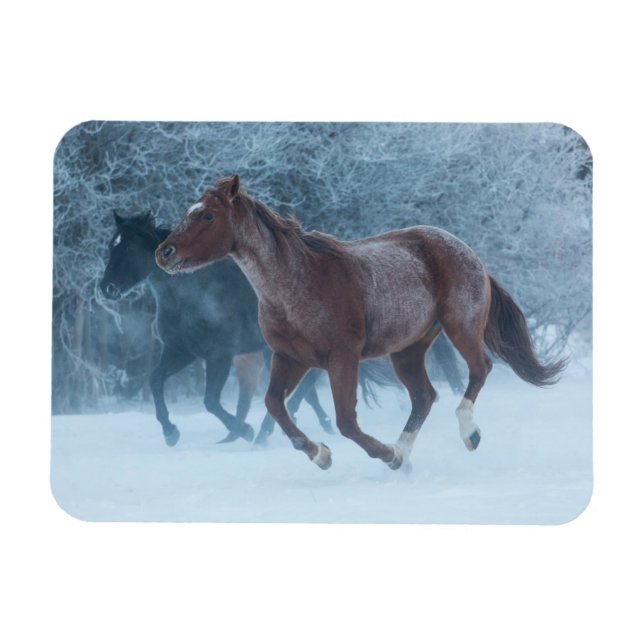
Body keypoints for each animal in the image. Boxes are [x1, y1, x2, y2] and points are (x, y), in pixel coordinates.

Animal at [99, 211, 333, 446]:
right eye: (112, 246)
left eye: (130, 247)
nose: (107, 288)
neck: (188, 300)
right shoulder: (180, 352)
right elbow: (155, 379)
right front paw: (170, 432)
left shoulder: (219, 355)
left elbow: (210, 401)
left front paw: (243, 430)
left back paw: (267, 434)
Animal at [155, 176, 566, 471]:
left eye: (207, 215)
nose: (164, 253)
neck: (296, 285)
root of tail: (468, 251)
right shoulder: (290, 358)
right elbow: (274, 405)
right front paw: (320, 454)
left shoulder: (342, 358)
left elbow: (345, 421)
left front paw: (379, 454)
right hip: (408, 349)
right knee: (424, 396)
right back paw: (404, 453)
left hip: (460, 326)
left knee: (480, 369)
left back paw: (465, 435)